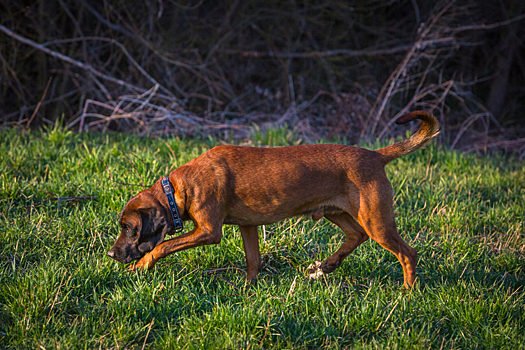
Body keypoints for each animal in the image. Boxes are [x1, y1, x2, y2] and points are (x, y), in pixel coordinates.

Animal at [108, 111, 440, 288]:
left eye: (129, 228)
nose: (111, 254)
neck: (178, 188)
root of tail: (375, 155)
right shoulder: (247, 226)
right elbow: (253, 260)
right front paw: (249, 288)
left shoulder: (208, 232)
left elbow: (163, 245)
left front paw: (142, 265)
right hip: (338, 212)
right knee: (356, 236)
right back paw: (327, 265)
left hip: (376, 220)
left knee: (407, 254)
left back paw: (407, 291)